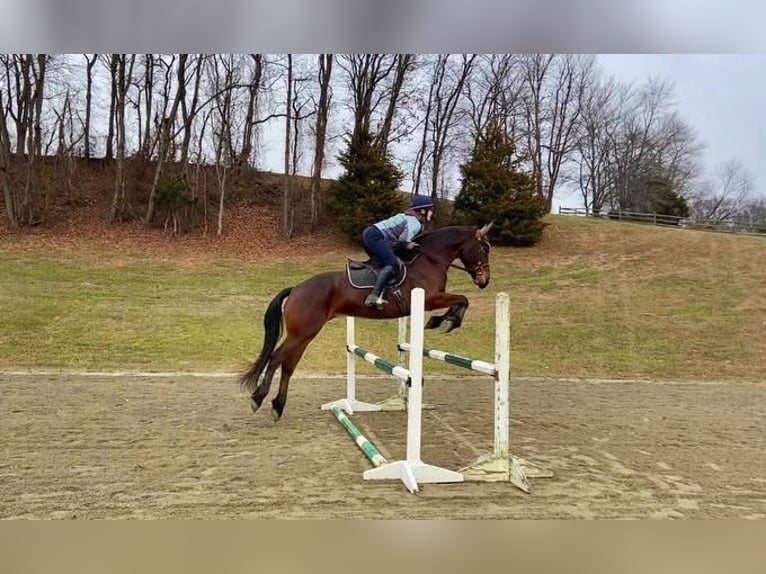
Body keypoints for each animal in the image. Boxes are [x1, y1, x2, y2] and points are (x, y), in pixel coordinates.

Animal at [238, 222, 494, 421]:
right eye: (484, 248)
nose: (484, 280)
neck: (430, 259)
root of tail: (296, 289)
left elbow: (462, 300)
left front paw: (445, 320)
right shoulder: (430, 298)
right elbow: (463, 299)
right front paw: (445, 320)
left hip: (305, 335)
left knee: (288, 366)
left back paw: (278, 406)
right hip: (301, 333)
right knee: (276, 358)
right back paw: (258, 398)